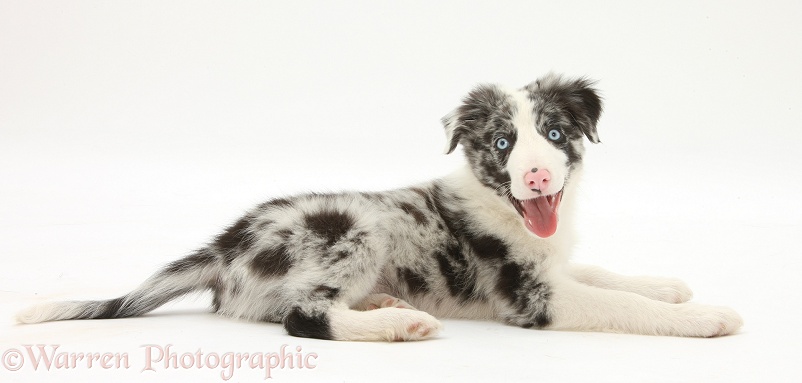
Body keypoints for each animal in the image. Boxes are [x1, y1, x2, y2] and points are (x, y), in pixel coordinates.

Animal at [15, 73, 740, 340]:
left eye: (556, 134)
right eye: (503, 142)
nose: (535, 174)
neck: (506, 210)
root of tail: (224, 245)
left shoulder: (550, 261)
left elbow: (607, 274)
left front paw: (670, 284)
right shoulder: (531, 295)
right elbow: (617, 303)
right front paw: (705, 315)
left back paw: (385, 303)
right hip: (355, 228)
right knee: (302, 315)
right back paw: (398, 323)